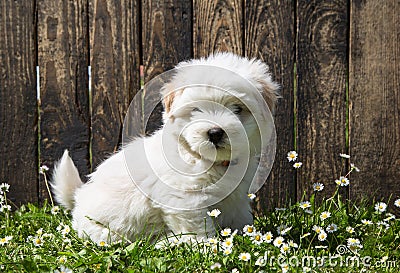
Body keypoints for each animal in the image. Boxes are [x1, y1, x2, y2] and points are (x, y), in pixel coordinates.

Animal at [51, 52, 278, 241]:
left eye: (238, 109)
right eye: (196, 109)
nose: (215, 133)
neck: (205, 160)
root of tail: (78, 199)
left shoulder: (236, 198)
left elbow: (240, 218)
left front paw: (244, 236)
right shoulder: (186, 199)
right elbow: (196, 228)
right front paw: (207, 247)